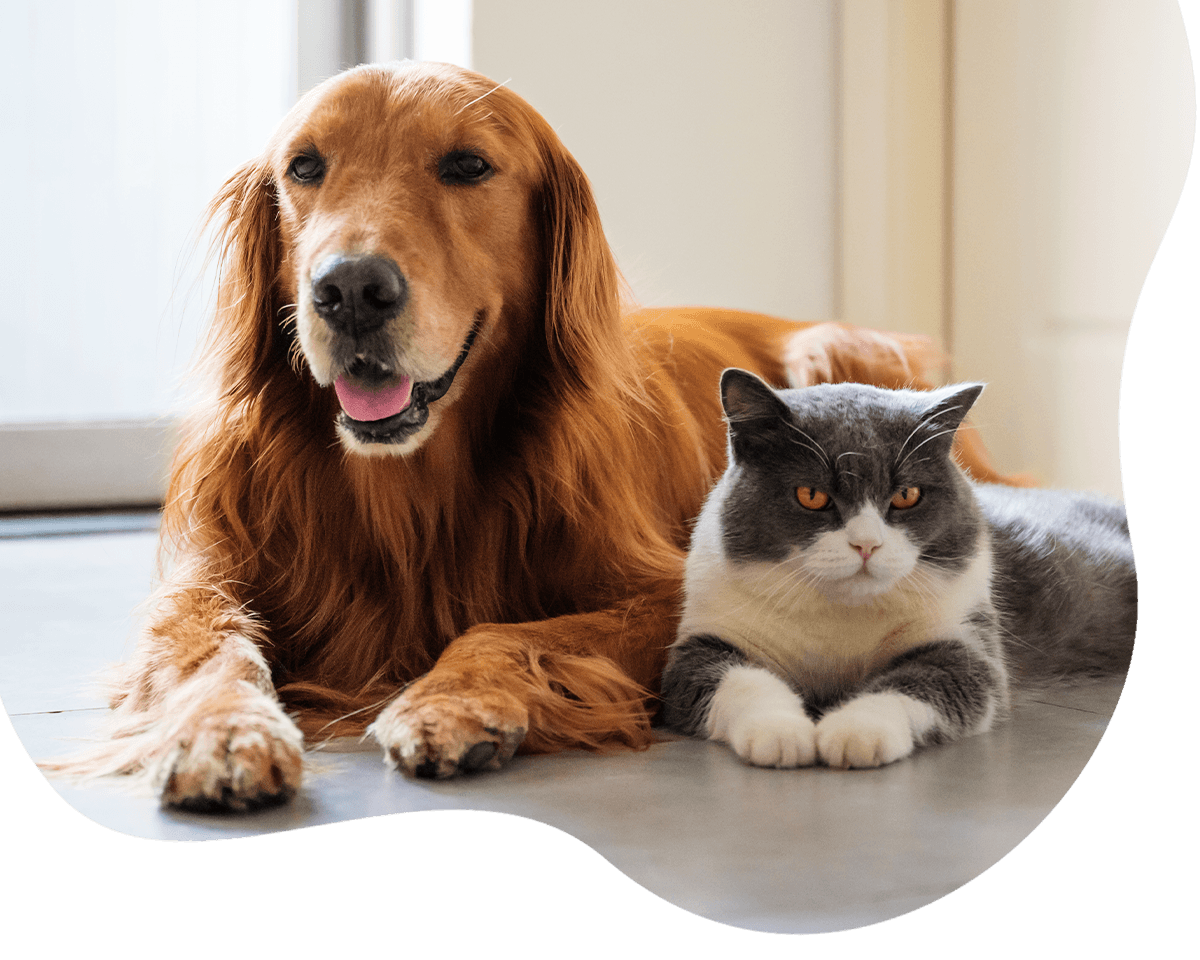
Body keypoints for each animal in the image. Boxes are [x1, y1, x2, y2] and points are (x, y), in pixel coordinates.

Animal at [44, 61, 1012, 811]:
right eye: (305, 166)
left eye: (468, 165)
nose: (349, 291)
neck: (408, 491)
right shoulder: (203, 582)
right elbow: (209, 651)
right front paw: (223, 734)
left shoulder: (663, 588)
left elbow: (505, 630)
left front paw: (449, 705)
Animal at [662, 372, 1137, 768]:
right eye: (811, 495)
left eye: (907, 495)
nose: (866, 544)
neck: (840, 620)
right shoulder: (704, 640)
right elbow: (735, 680)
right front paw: (781, 734)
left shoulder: (966, 639)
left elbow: (920, 682)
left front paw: (853, 732)